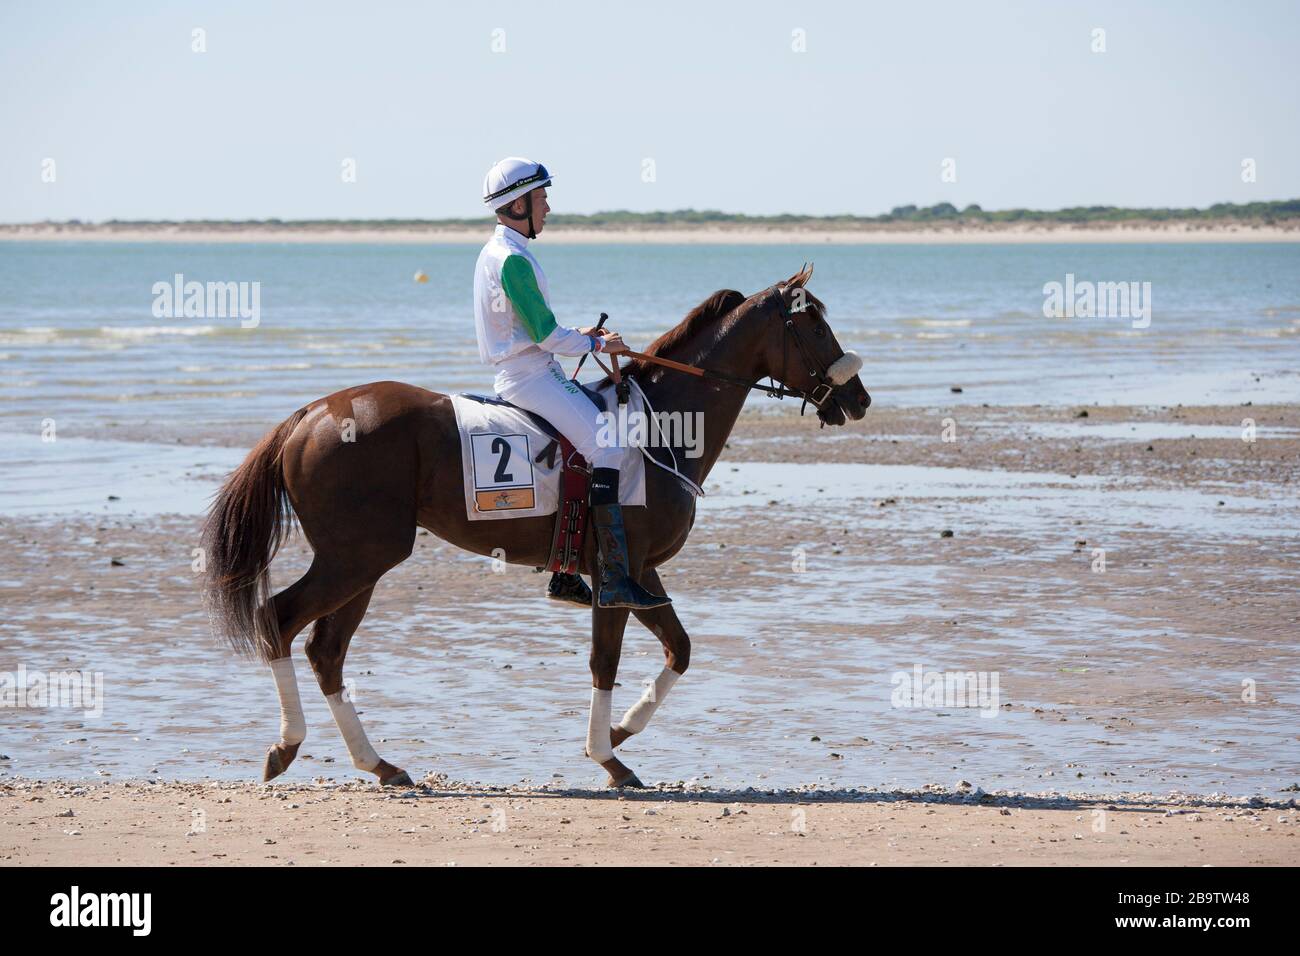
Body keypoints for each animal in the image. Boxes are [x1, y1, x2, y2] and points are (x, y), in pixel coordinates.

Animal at [202, 265, 868, 790]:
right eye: (813, 324)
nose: (858, 398)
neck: (660, 425)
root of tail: (312, 413)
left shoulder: (641, 573)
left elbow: (679, 650)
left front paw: (621, 732)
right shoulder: (619, 576)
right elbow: (605, 661)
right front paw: (608, 757)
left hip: (362, 564)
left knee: (326, 651)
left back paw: (379, 764)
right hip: (356, 559)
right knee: (280, 620)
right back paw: (288, 746)